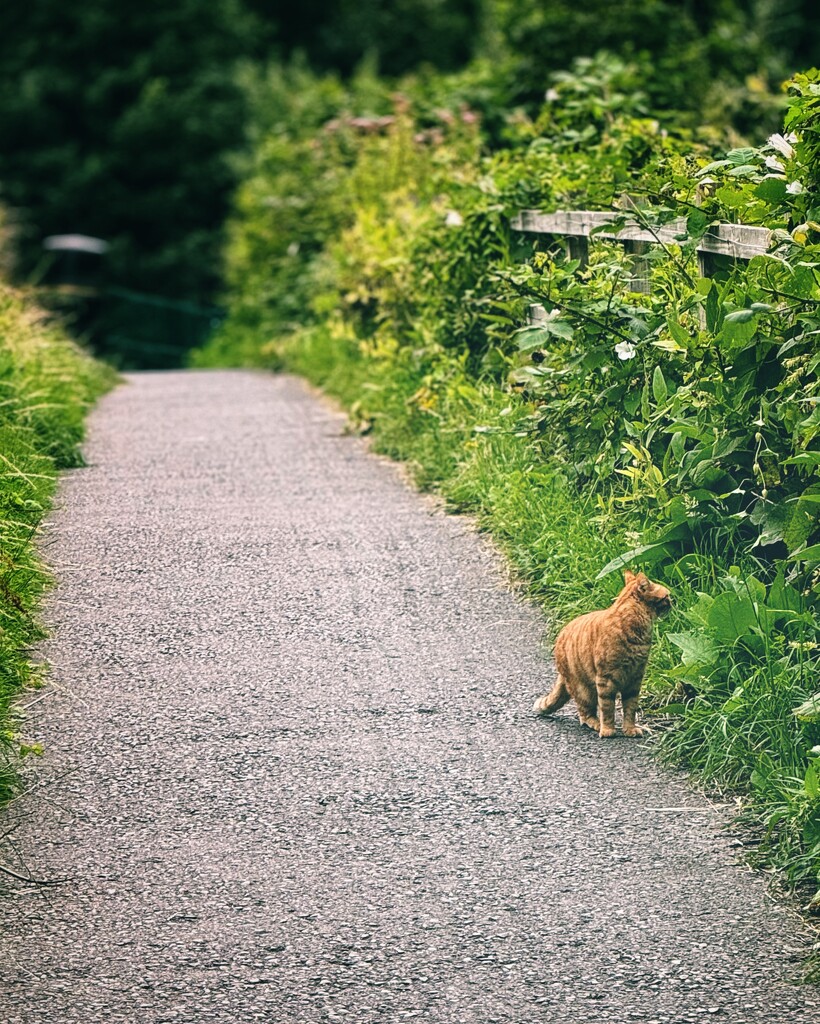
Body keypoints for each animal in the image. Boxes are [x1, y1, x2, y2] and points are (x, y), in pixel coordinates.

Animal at [532, 569, 671, 737]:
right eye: (667, 596)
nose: (674, 601)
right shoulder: (606, 680)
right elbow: (607, 708)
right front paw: (608, 730)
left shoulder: (635, 679)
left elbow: (630, 708)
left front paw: (629, 729)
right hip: (584, 690)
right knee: (584, 713)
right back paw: (596, 724)